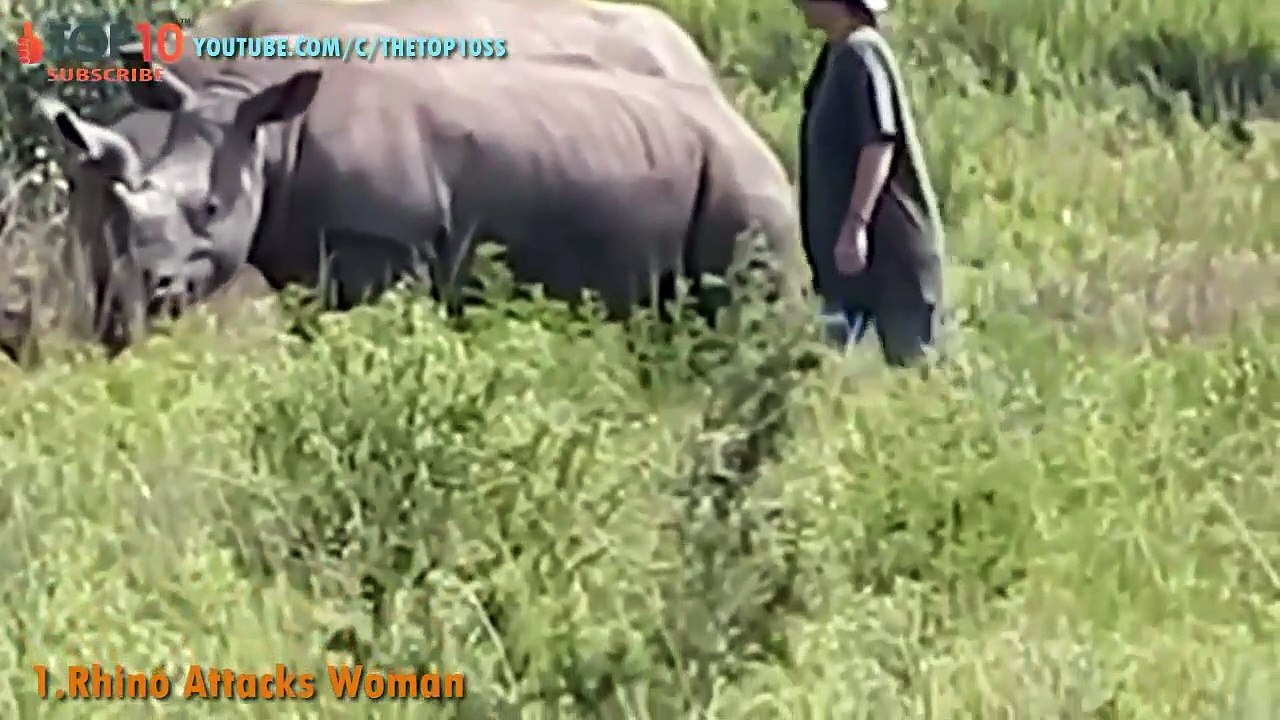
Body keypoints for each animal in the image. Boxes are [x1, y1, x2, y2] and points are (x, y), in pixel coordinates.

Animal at [30, 54, 802, 353]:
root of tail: (745, 124)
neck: (272, 138)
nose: (140, 298)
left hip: (745, 183)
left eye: (212, 210)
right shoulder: (315, 260)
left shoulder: (381, 245)